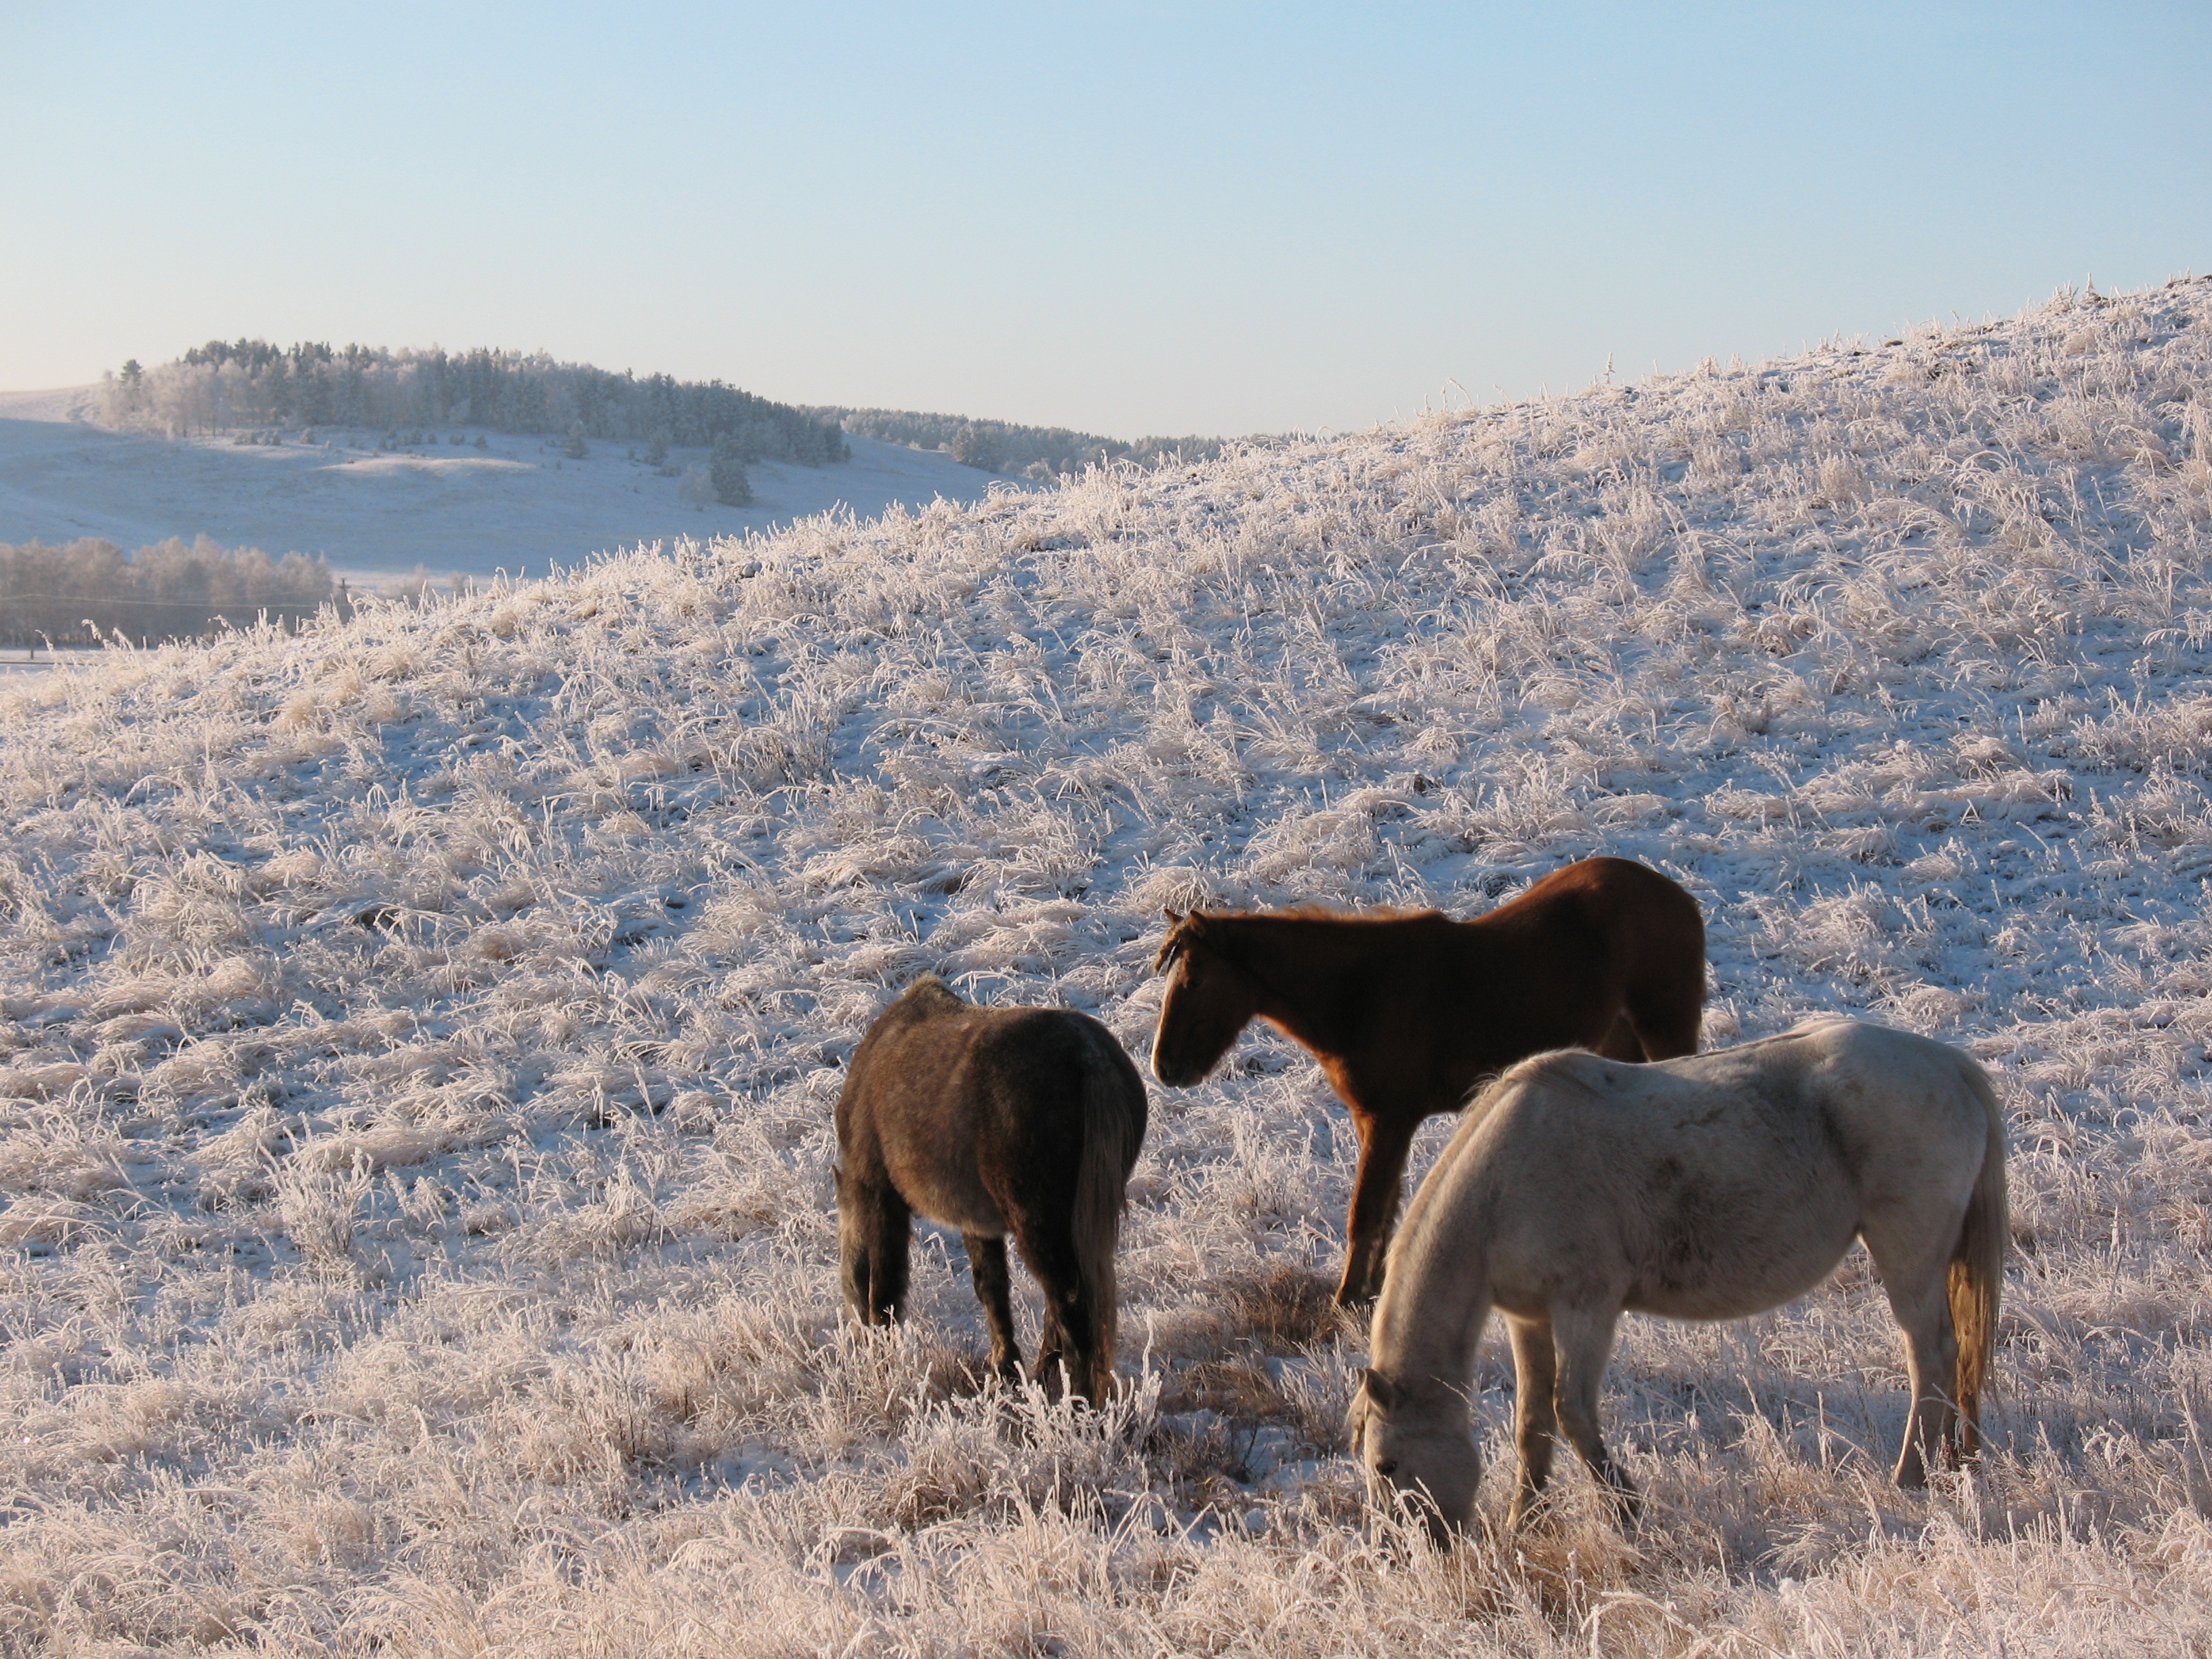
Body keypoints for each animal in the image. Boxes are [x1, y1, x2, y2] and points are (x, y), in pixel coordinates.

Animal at [1150, 858, 1698, 1309]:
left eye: (1194, 981)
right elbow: (1387, 1208)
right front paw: (1371, 1291)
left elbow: (1367, 1212)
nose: (1165, 1067)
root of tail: (1675, 893)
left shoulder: (1389, 1120)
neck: (1362, 994)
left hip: (1666, 1028)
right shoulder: (1376, 1122)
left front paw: (1347, 1300)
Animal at [1345, 1021, 2008, 1539]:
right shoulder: (1528, 1318)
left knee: (1932, 1357)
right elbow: (1532, 1423)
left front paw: (1626, 1512)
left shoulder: (1586, 1308)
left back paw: (1912, 1478)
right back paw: (1949, 1464)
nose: (1402, 1553)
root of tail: (1950, 1065)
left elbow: (1571, 1410)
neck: (1503, 1186)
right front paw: (1523, 1522)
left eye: (1386, 1465)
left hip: (1908, 1256)